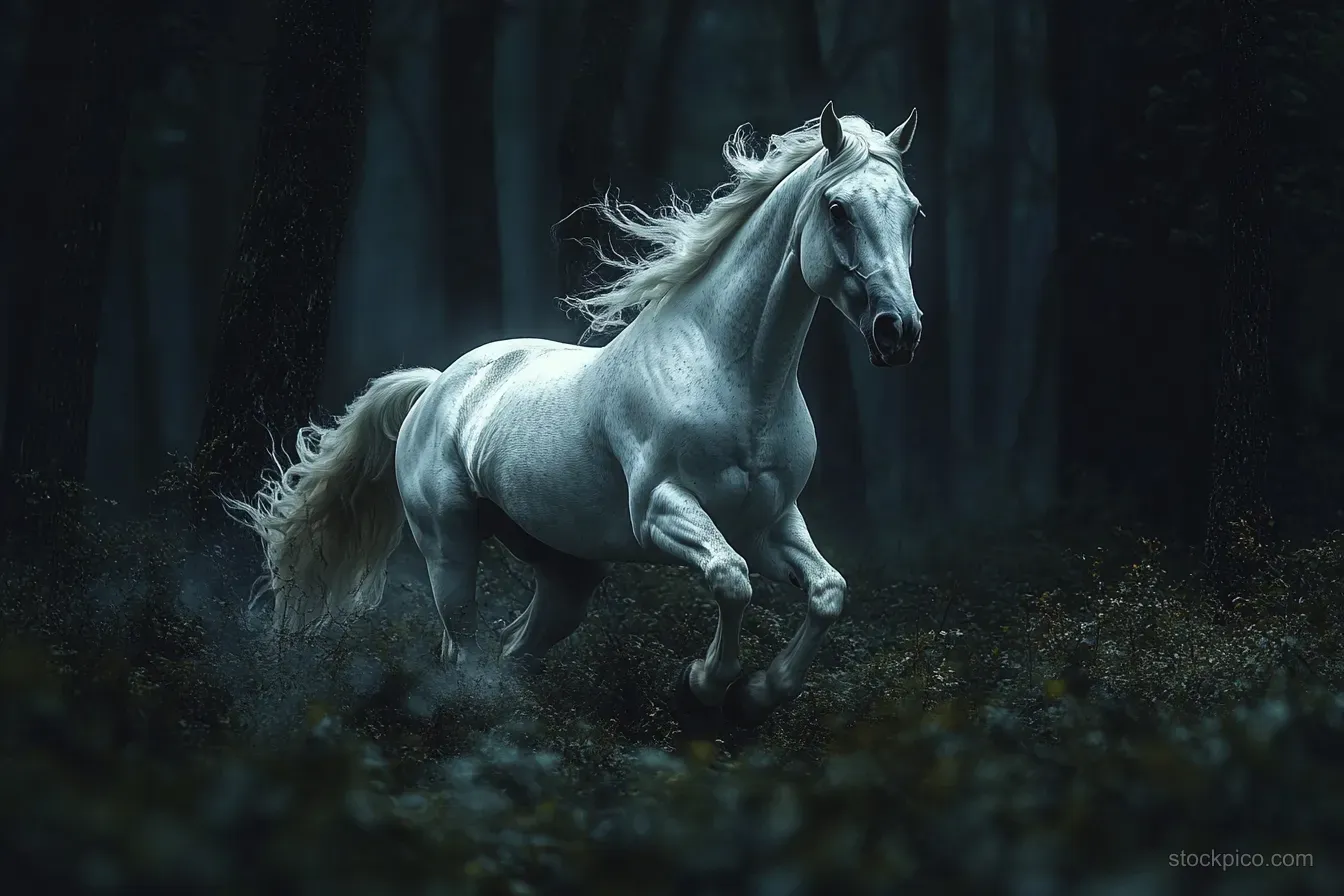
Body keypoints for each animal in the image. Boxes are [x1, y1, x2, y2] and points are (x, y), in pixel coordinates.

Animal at [227, 102, 923, 727]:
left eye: (913, 212)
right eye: (837, 209)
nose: (899, 331)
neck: (735, 380)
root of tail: (436, 386)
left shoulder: (770, 522)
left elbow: (828, 593)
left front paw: (757, 696)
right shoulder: (661, 510)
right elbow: (732, 580)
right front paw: (701, 686)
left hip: (568, 571)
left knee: (511, 644)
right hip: (448, 546)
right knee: (463, 648)